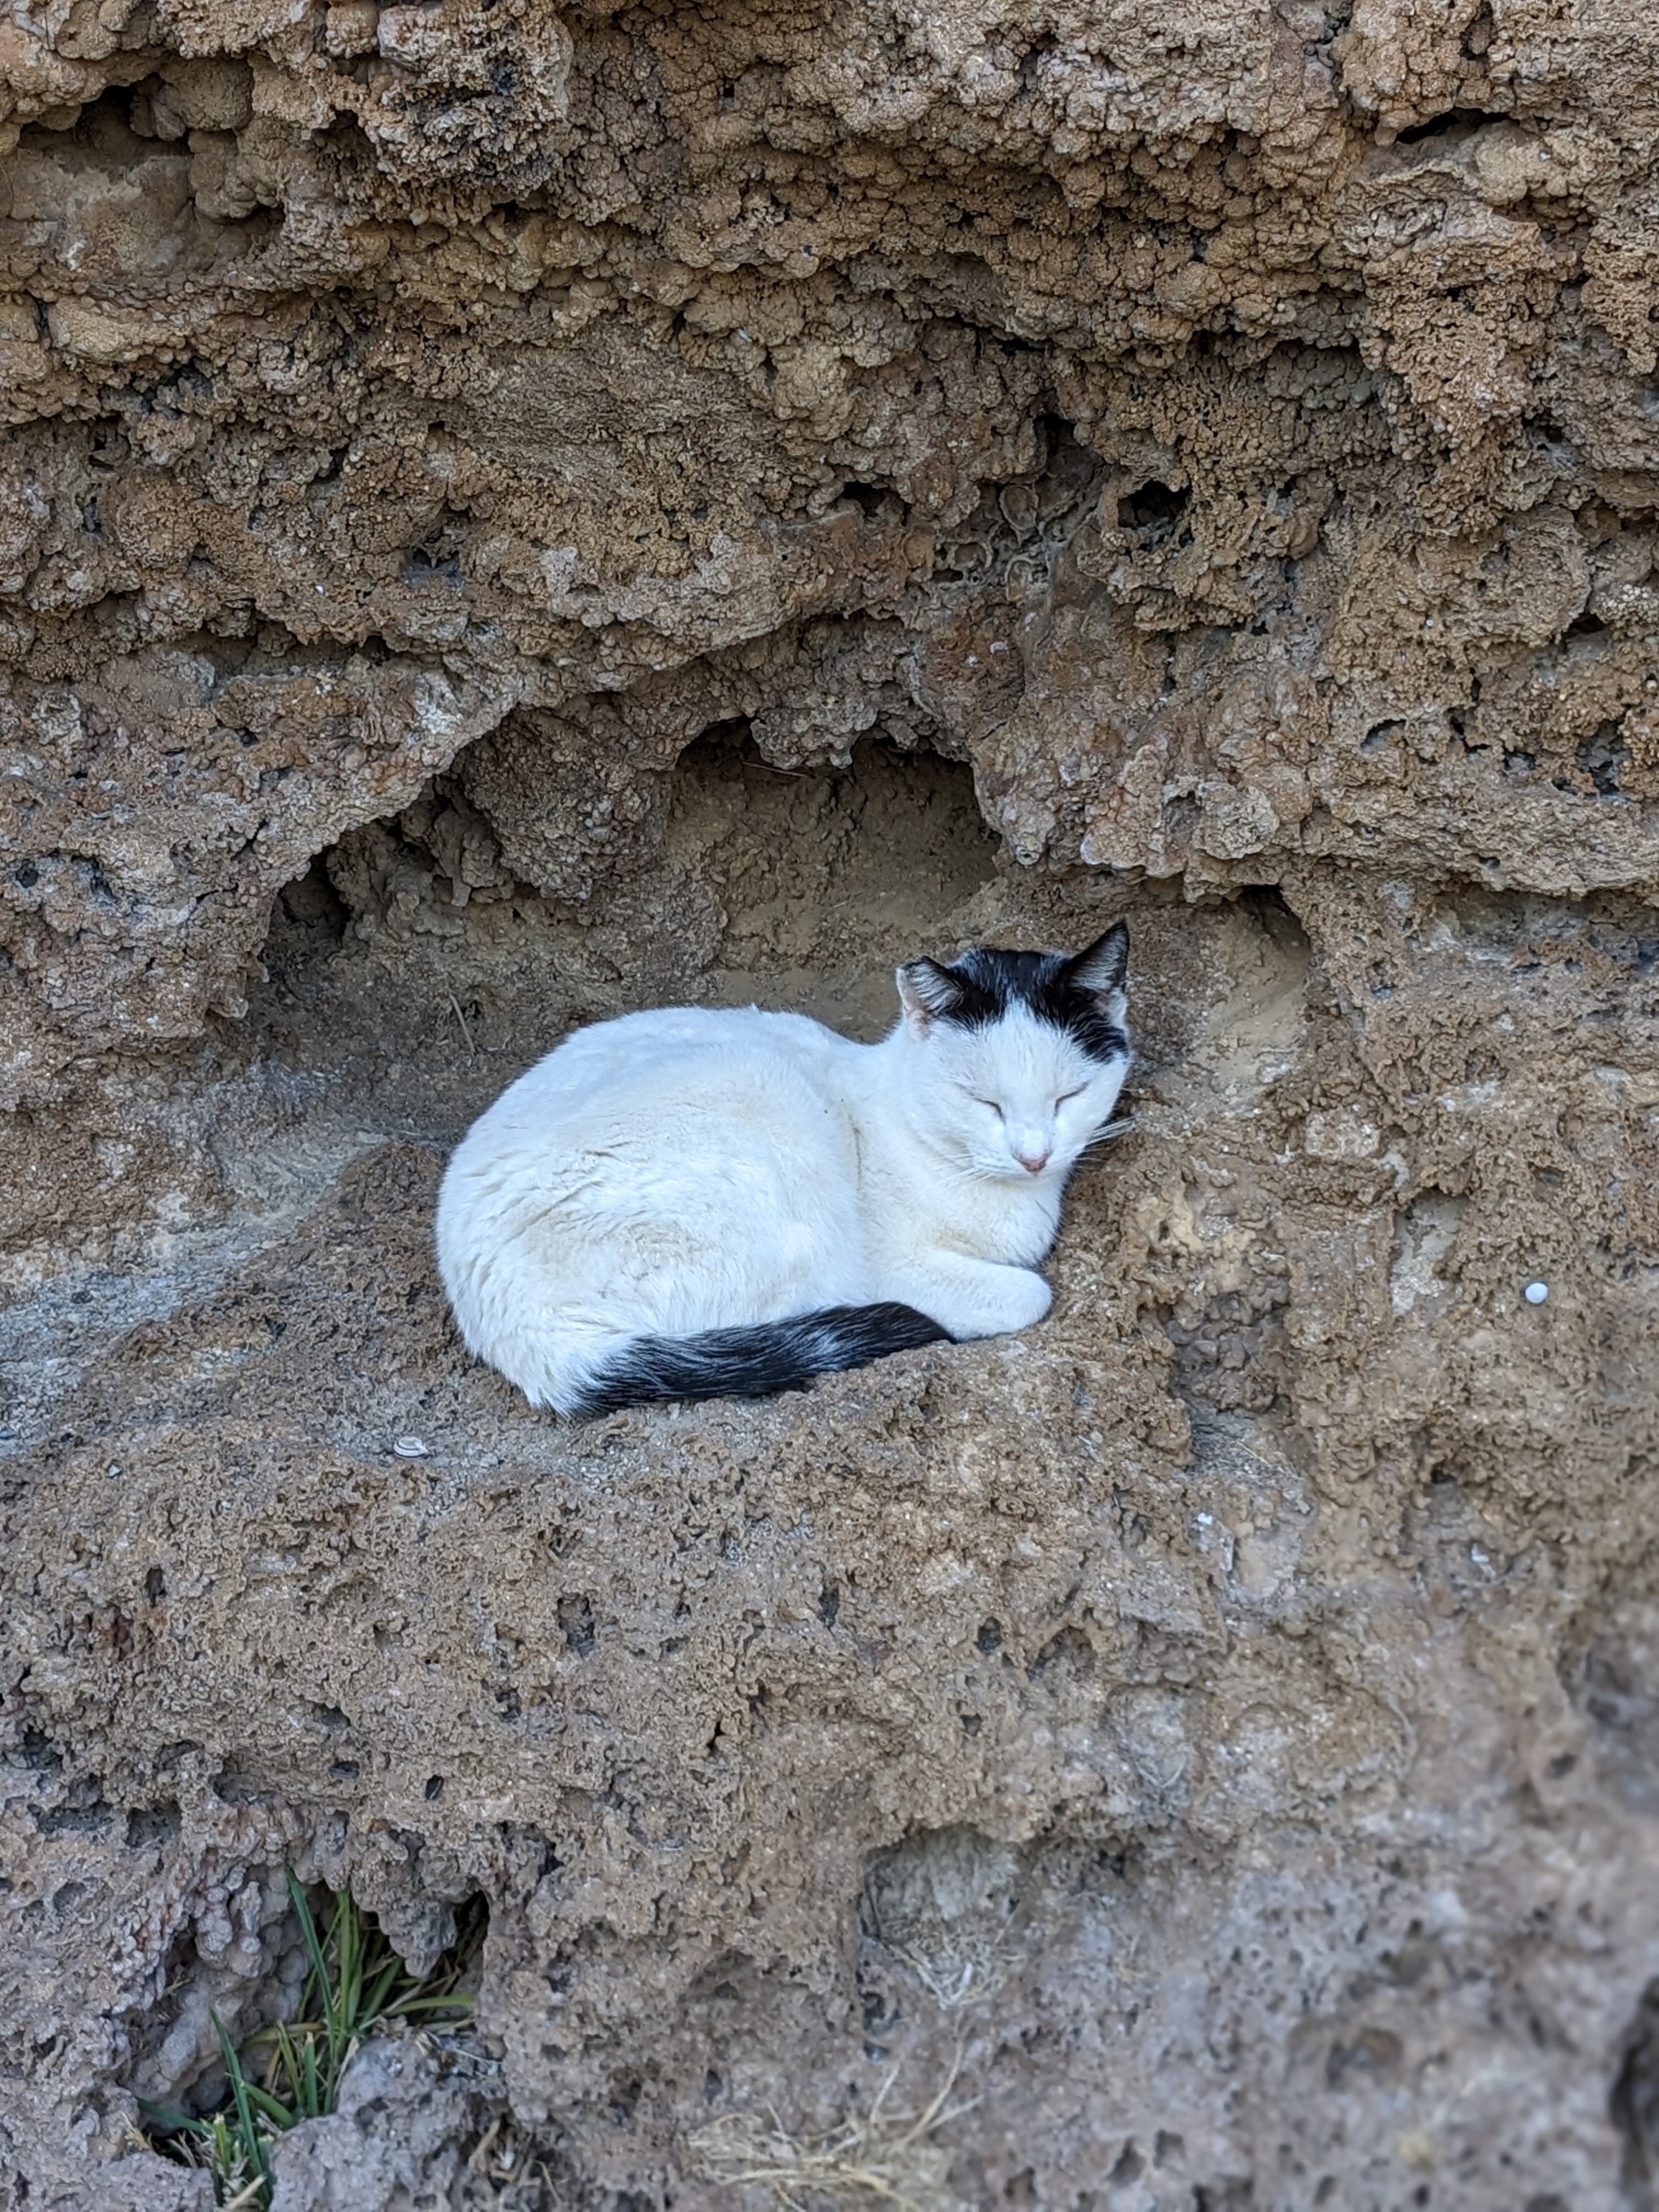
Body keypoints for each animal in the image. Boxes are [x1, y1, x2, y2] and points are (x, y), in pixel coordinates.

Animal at [431, 920, 1132, 1415]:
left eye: (1068, 1097)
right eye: (983, 1102)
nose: (1034, 1155)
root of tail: (522, 1332)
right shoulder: (893, 1264)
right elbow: (1031, 1292)